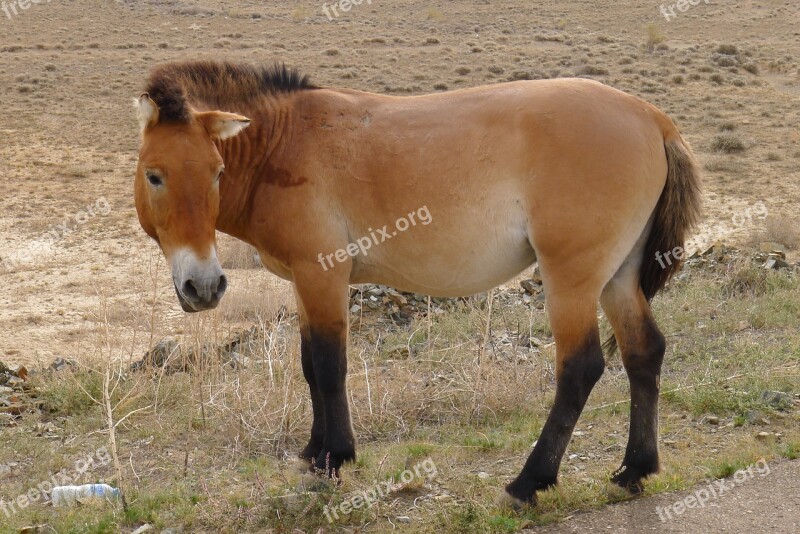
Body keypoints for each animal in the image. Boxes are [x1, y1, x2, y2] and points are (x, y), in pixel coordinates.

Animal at [133, 61, 700, 506]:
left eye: (216, 171)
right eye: (155, 174)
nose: (203, 287)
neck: (285, 144)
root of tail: (651, 117)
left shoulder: (322, 275)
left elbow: (329, 366)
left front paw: (335, 459)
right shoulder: (303, 283)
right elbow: (309, 366)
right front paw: (313, 454)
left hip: (572, 279)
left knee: (580, 369)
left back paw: (528, 482)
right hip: (617, 277)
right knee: (644, 351)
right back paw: (635, 470)